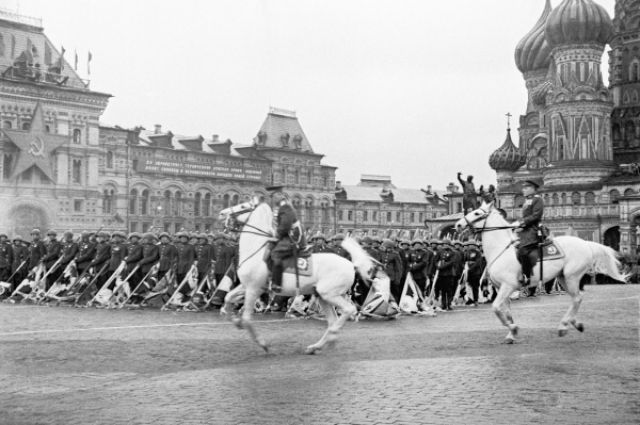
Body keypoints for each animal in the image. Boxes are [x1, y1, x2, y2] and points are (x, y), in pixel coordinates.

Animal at [219, 200, 376, 352]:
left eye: (243, 206)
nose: (222, 213)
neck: (256, 251)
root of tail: (351, 264)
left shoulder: (254, 289)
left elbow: (246, 318)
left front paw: (262, 343)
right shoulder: (247, 286)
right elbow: (228, 298)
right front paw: (235, 320)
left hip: (330, 294)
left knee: (349, 310)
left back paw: (331, 335)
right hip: (323, 296)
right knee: (333, 320)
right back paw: (317, 346)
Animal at [452, 200, 628, 342]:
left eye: (477, 213)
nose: (458, 224)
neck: (500, 250)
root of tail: (585, 243)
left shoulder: (508, 286)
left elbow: (496, 308)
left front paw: (513, 329)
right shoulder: (501, 287)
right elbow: (506, 312)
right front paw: (511, 333)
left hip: (571, 277)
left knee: (577, 298)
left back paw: (564, 326)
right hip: (563, 278)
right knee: (577, 298)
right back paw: (574, 324)